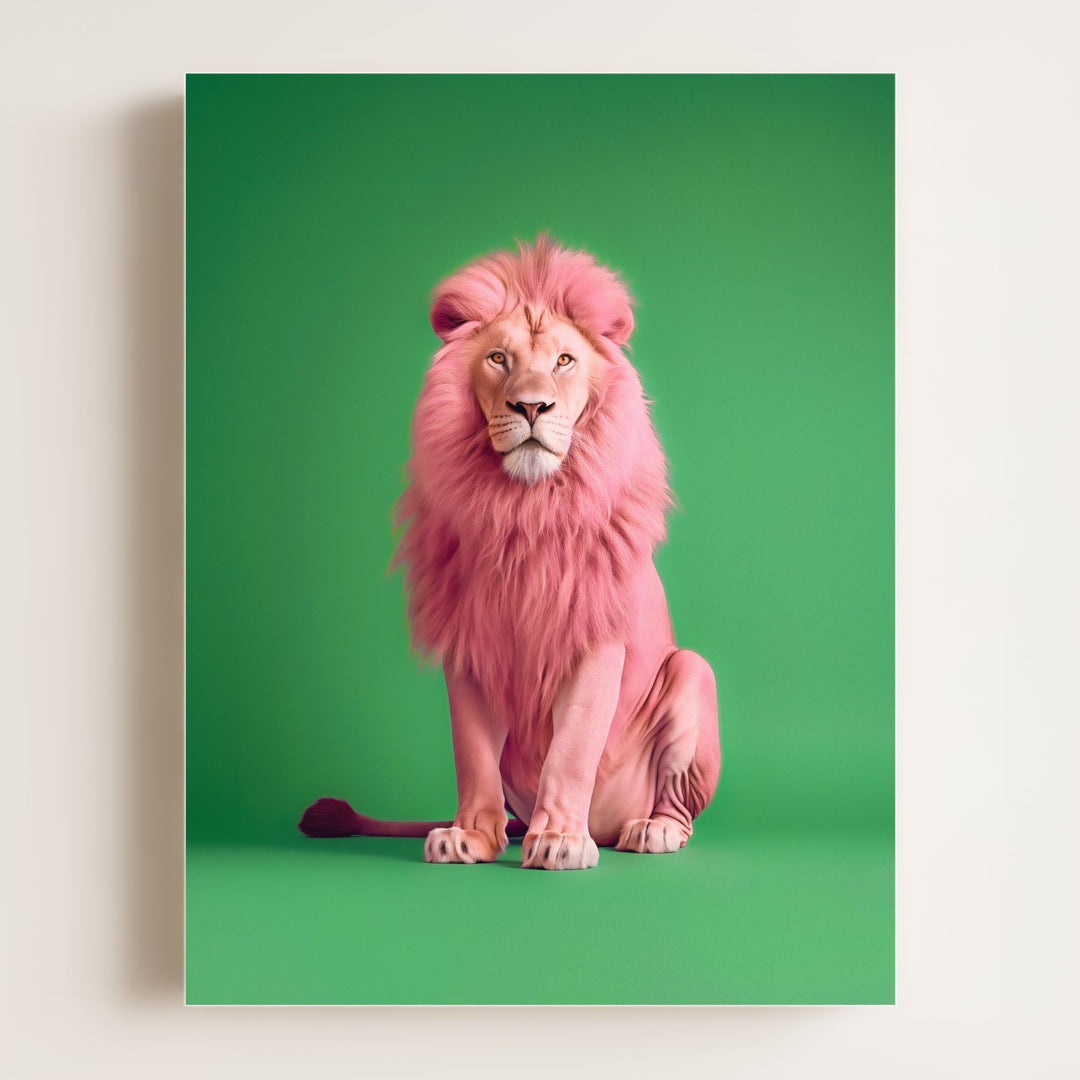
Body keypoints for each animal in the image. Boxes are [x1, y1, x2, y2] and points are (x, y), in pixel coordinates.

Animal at [299, 236, 721, 869]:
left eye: (564, 361)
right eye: (499, 359)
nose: (531, 407)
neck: (522, 510)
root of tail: (608, 826)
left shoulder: (594, 636)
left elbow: (573, 745)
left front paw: (561, 840)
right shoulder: (470, 637)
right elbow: (472, 751)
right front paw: (469, 836)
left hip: (693, 670)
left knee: (676, 802)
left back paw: (650, 830)